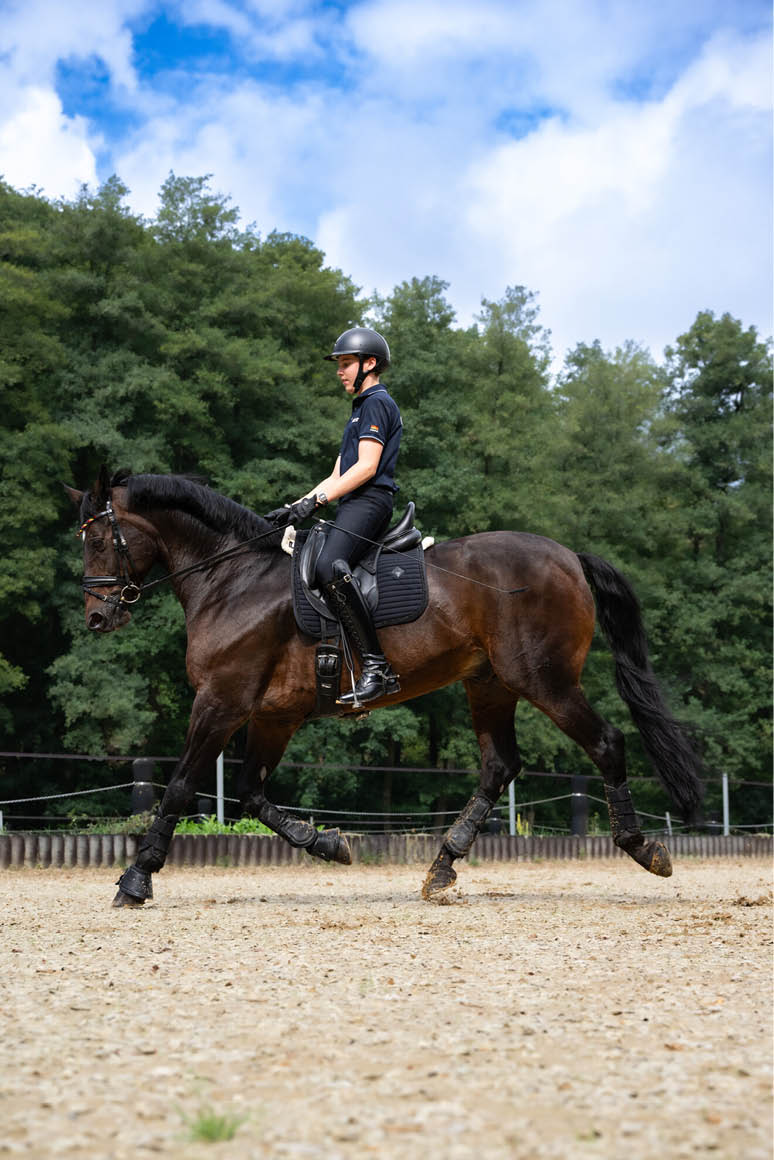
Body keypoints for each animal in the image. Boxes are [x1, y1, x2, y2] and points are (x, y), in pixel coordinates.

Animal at [65, 467, 703, 907]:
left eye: (96, 541)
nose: (96, 618)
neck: (232, 580)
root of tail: (568, 555)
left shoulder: (222, 701)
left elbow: (178, 787)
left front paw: (136, 879)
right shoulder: (273, 715)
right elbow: (251, 794)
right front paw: (327, 844)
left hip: (543, 679)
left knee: (605, 743)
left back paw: (644, 848)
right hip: (489, 683)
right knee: (499, 765)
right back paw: (442, 868)